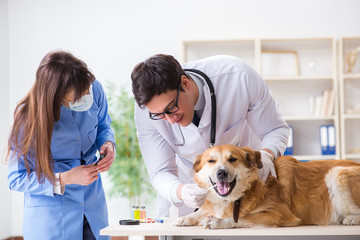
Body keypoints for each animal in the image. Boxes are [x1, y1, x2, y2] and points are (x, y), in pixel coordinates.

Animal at [174, 144, 360, 229]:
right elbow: (204, 210)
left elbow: (241, 218)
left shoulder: (280, 214)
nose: (221, 173)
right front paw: (187, 217)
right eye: (211, 161)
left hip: (337, 174)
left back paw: (351, 219)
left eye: (232, 159)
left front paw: (218, 222)